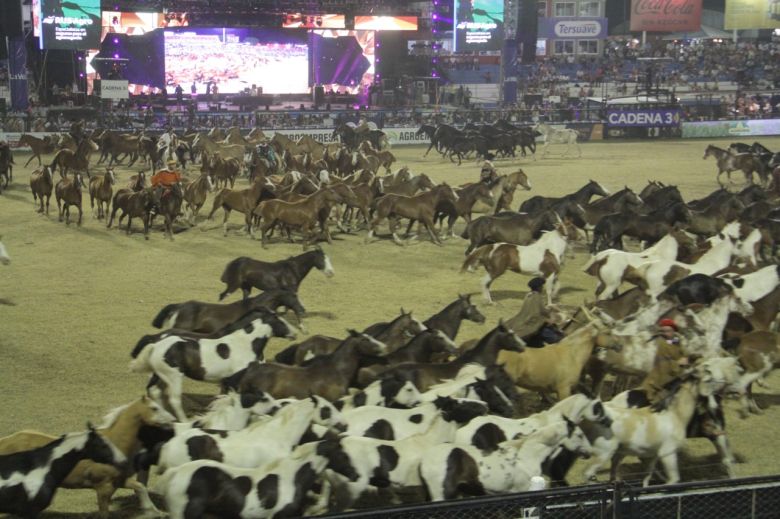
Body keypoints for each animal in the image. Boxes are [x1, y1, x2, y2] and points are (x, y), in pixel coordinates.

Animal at [0, 396, 174, 516]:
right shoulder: (103, 487)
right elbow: (104, 512)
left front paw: (154, 511)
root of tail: (7, 440)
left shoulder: (118, 480)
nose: (172, 420)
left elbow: (140, 487)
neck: (114, 443)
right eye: (154, 408)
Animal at [131, 310, 296, 420]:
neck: (245, 344)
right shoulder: (234, 381)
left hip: (159, 374)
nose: (294, 333)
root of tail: (156, 344)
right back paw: (183, 420)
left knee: (154, 391)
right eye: (281, 321)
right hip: (173, 377)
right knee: (174, 399)